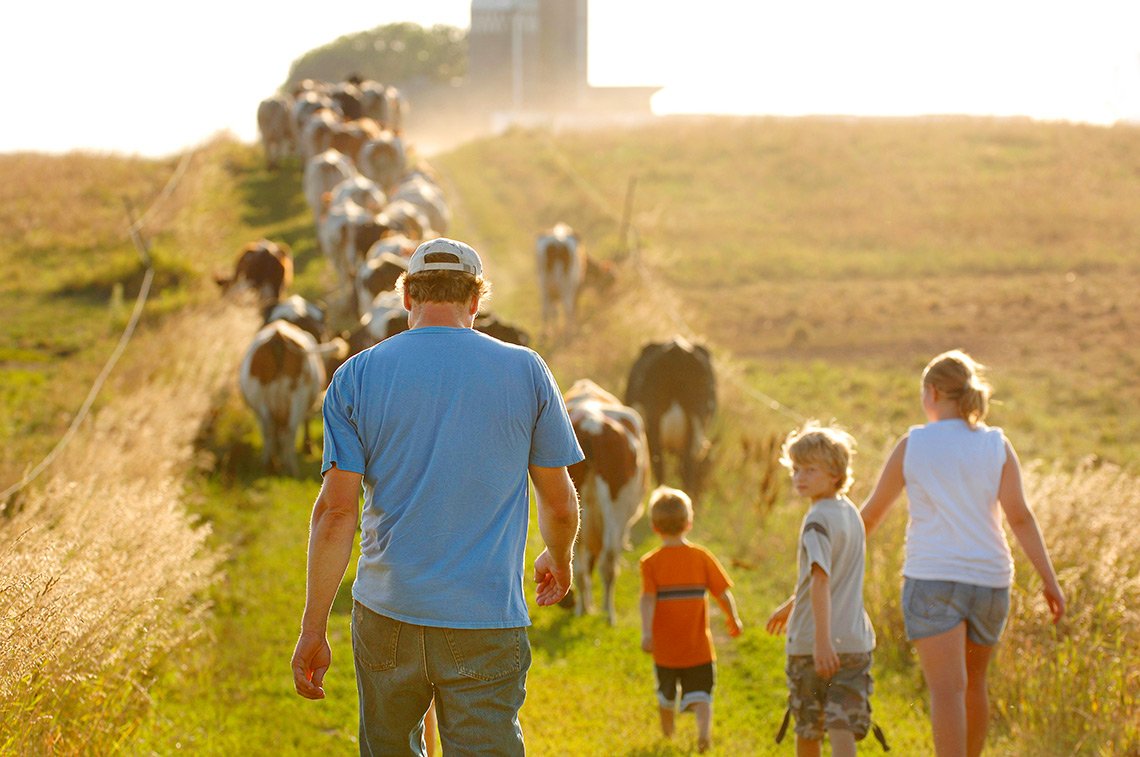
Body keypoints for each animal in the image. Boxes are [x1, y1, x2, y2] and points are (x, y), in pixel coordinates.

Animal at [563, 376, 652, 620]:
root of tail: (592, 425)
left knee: (579, 563)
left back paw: (583, 609)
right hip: (617, 503)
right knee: (608, 560)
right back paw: (608, 613)